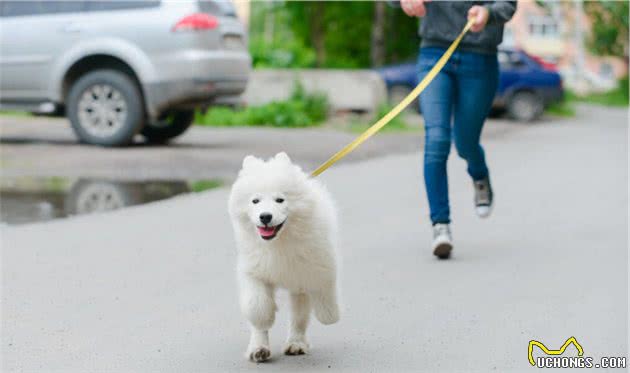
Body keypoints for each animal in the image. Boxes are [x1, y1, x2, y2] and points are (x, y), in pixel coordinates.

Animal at [228, 150, 340, 360]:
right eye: (255, 201)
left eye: (280, 200)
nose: (265, 216)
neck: (279, 242)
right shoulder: (254, 270)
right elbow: (257, 307)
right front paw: (265, 319)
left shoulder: (318, 264)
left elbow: (323, 292)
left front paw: (330, 315)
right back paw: (259, 349)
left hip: (299, 284)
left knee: (299, 316)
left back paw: (296, 344)